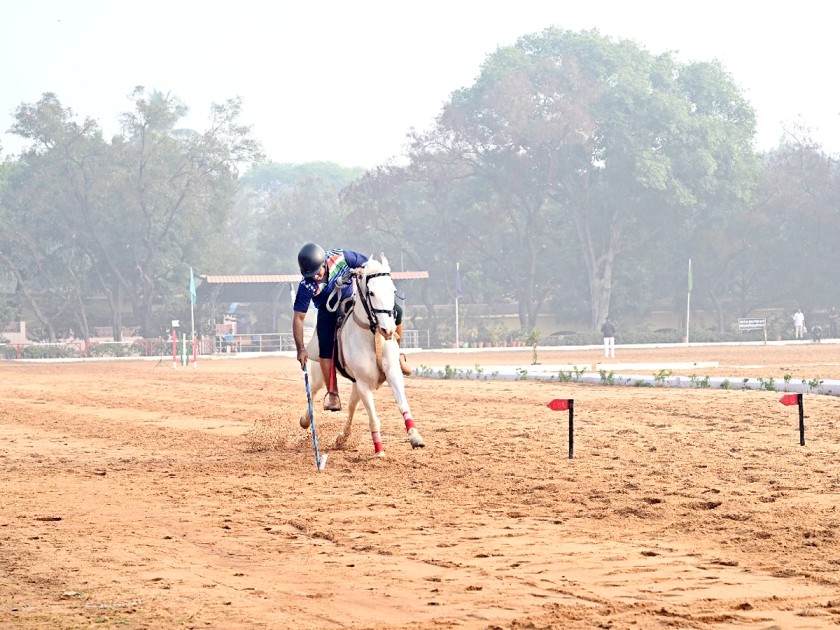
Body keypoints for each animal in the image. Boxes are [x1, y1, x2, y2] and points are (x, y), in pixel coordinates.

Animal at [298, 254, 424, 456]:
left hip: (355, 384)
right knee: (314, 392)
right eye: (371, 293)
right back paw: (307, 419)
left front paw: (415, 437)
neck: (372, 335)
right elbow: (373, 418)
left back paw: (342, 437)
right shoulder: (364, 384)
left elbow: (403, 404)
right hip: (320, 374)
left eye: (393, 290)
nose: (388, 330)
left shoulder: (392, 374)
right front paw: (379, 450)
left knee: (351, 406)